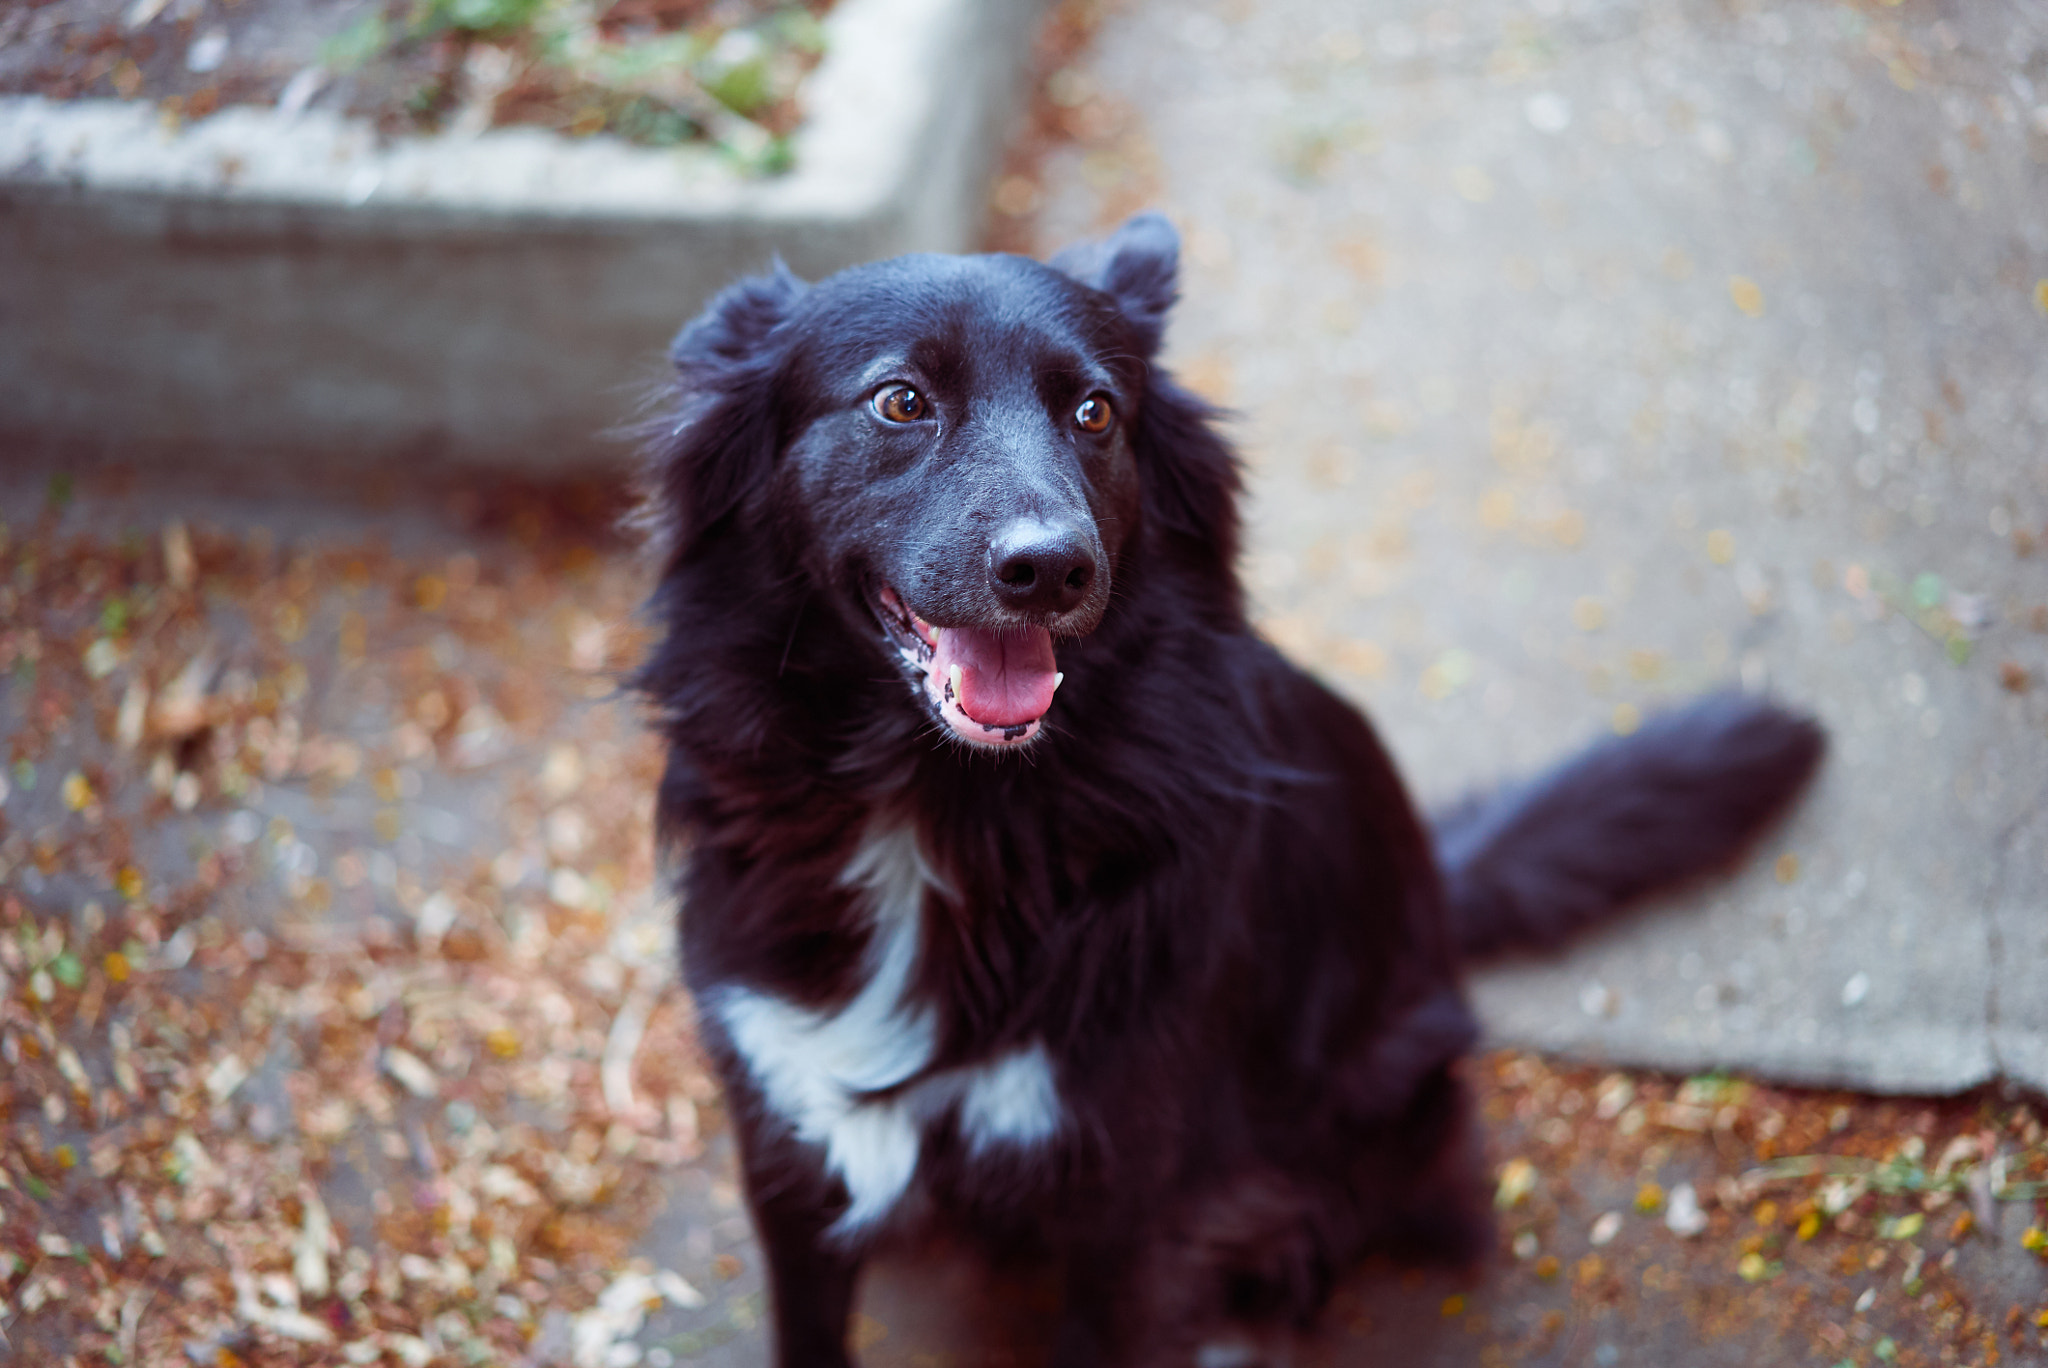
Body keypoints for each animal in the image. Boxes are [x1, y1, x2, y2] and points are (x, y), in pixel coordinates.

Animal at [634, 214, 1826, 1359]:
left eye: (1094, 412)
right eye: (899, 401)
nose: (1052, 569)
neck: (939, 817)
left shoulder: (1127, 1190)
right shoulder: (785, 1141)